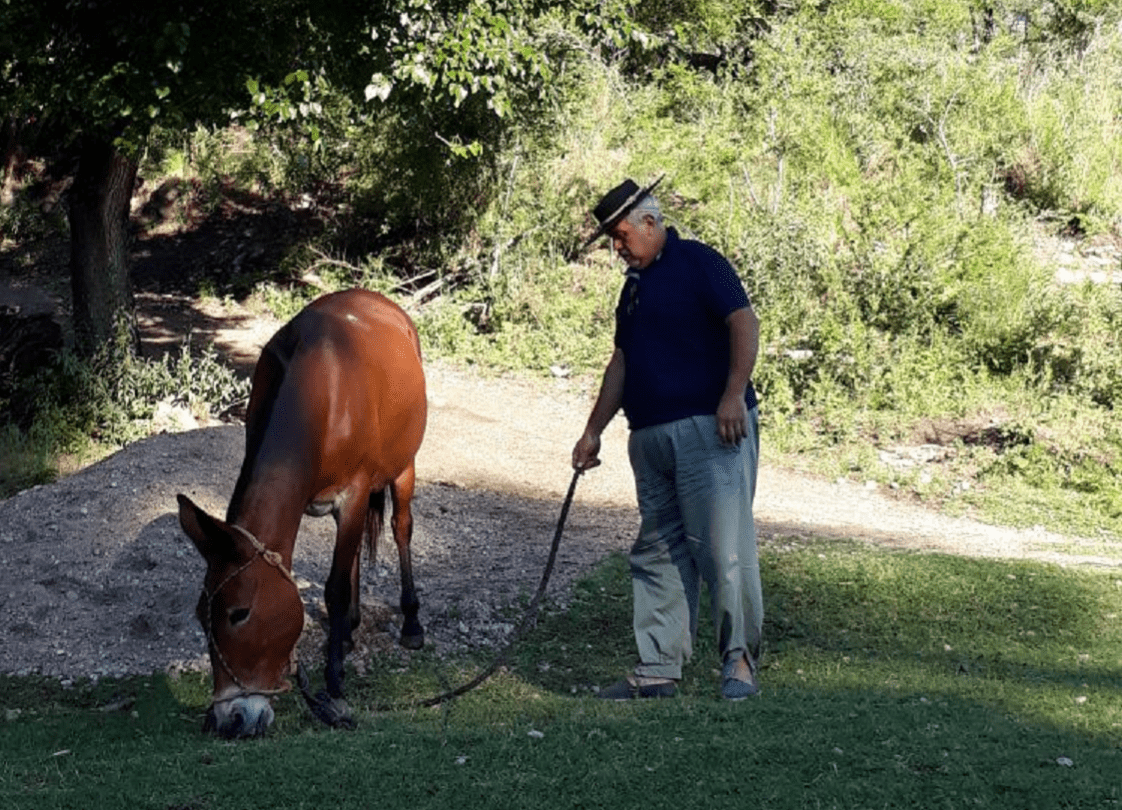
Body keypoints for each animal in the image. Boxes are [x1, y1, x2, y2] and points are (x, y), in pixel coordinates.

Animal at [177, 289, 426, 740]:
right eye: (201, 616)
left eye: (239, 614)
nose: (228, 720)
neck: (320, 393)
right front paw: (340, 642)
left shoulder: (354, 492)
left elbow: (334, 588)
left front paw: (334, 683)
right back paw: (348, 631)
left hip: (404, 467)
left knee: (401, 530)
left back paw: (411, 623)